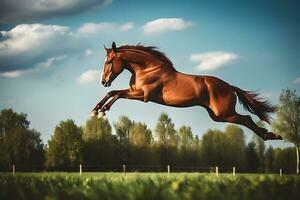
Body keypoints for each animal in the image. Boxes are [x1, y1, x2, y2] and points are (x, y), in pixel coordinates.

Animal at [90, 41, 282, 140]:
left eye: (109, 61)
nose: (103, 81)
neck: (147, 69)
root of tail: (229, 86)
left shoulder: (144, 95)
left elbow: (117, 94)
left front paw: (102, 111)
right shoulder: (134, 91)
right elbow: (112, 93)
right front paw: (95, 110)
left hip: (224, 113)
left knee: (247, 118)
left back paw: (270, 136)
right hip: (217, 116)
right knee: (246, 119)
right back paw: (270, 135)